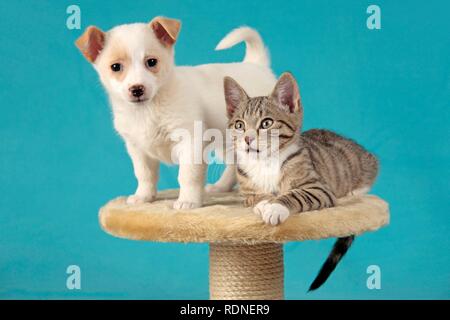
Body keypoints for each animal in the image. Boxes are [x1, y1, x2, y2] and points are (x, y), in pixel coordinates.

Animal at [75, 16, 276, 209]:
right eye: (115, 67)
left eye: (151, 62)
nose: (137, 89)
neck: (147, 110)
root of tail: (256, 64)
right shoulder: (138, 150)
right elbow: (144, 175)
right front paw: (143, 197)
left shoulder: (190, 143)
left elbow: (187, 176)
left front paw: (188, 201)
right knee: (235, 165)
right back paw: (221, 187)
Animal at [223, 72, 378, 290]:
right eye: (239, 125)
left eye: (266, 123)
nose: (247, 139)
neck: (265, 162)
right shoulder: (245, 187)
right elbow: (255, 196)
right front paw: (263, 203)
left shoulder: (318, 187)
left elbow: (296, 194)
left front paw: (275, 207)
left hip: (363, 163)